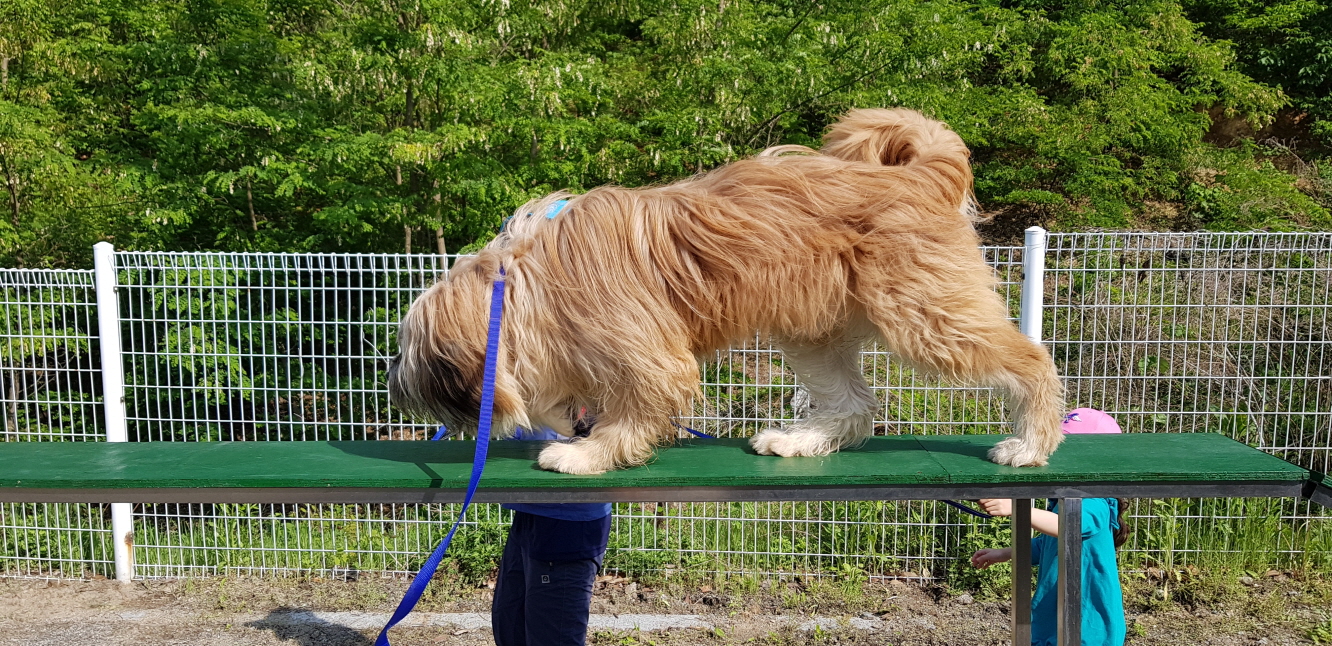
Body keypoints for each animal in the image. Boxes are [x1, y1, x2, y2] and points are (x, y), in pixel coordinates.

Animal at [386, 108, 1060, 474]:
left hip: (927, 314)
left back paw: (1032, 443)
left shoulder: (649, 353)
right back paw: (801, 439)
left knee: (1032, 358)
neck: (524, 285)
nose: (395, 387)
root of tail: (918, 175)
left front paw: (589, 454)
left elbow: (637, 407)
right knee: (854, 405)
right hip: (814, 330)